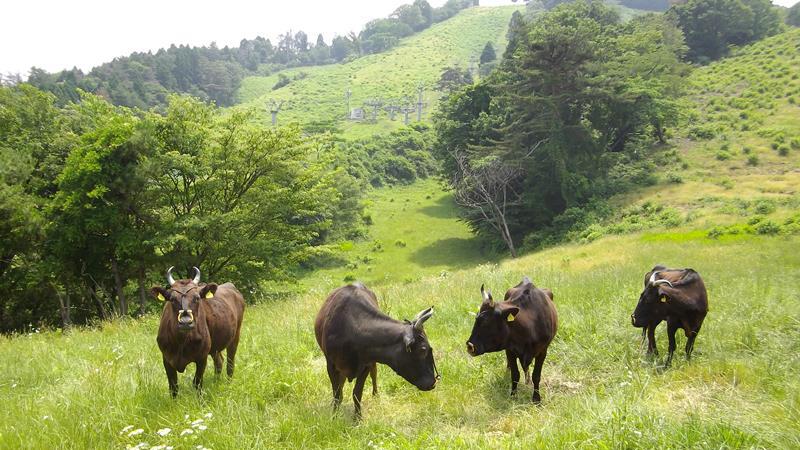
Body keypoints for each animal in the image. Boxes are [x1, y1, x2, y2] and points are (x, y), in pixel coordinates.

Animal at [152, 268, 245, 398]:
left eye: (196, 298)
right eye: (172, 299)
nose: (185, 322)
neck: (181, 342)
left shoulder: (202, 357)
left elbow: (197, 382)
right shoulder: (166, 359)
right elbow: (173, 386)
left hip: (235, 336)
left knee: (230, 363)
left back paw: (228, 383)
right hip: (214, 347)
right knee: (219, 361)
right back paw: (216, 383)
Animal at [314, 282, 440, 418]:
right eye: (423, 349)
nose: (432, 382)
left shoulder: (366, 364)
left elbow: (357, 394)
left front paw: (357, 418)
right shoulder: (330, 364)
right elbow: (337, 394)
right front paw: (334, 416)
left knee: (374, 373)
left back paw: (375, 395)